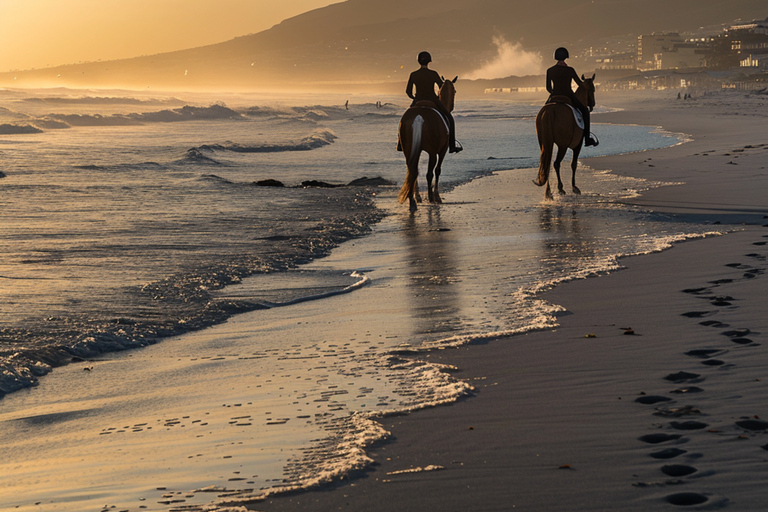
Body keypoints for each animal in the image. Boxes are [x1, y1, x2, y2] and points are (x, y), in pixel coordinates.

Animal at [397, 76, 457, 212]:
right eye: (455, 91)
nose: (452, 106)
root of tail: (419, 116)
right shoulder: (442, 150)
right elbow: (437, 170)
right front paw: (437, 196)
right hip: (433, 152)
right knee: (429, 173)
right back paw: (430, 197)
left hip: (408, 149)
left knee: (412, 170)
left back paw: (413, 200)